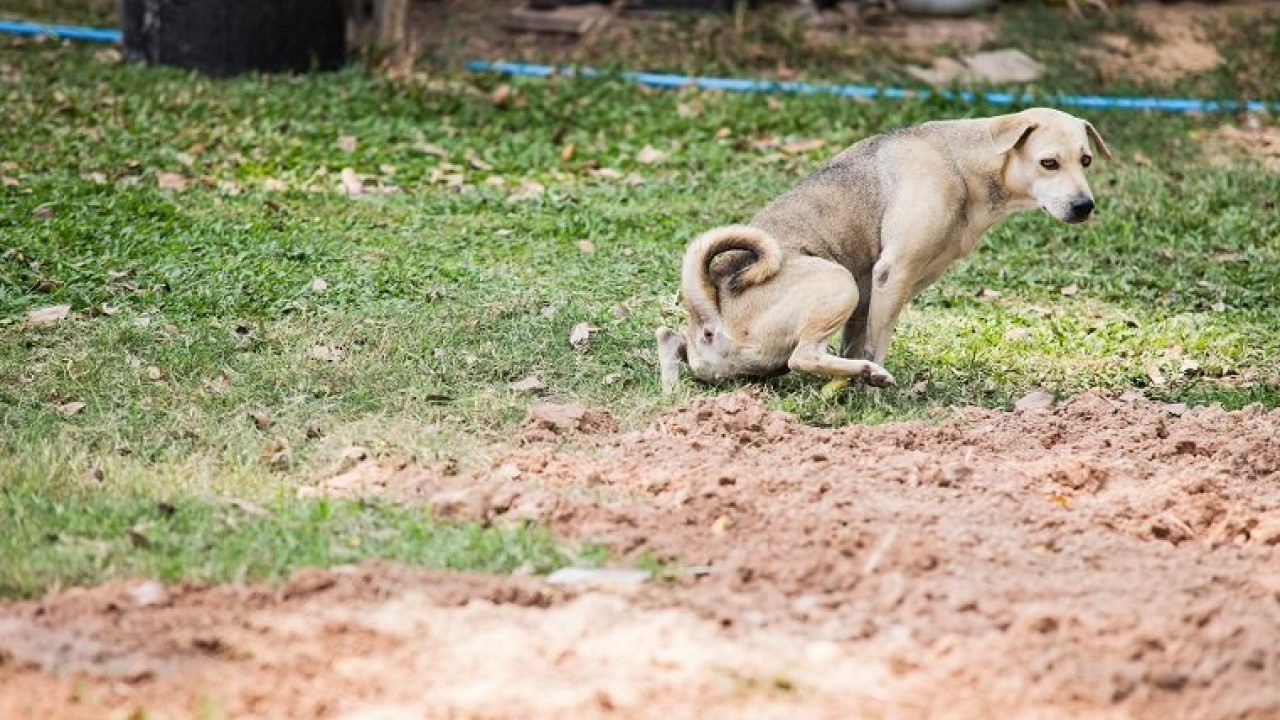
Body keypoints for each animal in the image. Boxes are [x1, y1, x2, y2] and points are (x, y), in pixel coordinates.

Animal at [660, 106, 1111, 392]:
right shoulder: (892, 275)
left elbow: (858, 337)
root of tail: (710, 313)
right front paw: (872, 390)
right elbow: (876, 344)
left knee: (670, 338)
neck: (964, 162)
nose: (1084, 206)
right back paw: (868, 373)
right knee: (802, 358)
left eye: (1086, 160)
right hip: (836, 281)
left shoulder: (871, 293)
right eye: (1048, 163)